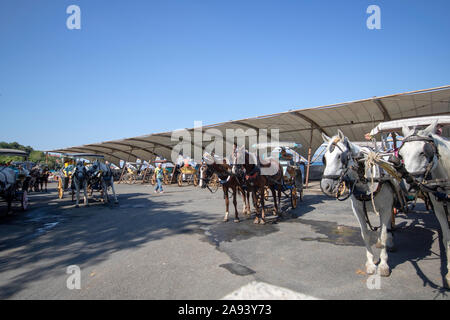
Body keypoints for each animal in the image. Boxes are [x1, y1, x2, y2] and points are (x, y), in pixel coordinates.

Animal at [320, 130, 398, 278]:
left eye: (340, 157)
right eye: (325, 158)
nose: (325, 186)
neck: (364, 180)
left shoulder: (385, 207)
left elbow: (384, 234)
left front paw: (383, 265)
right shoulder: (357, 209)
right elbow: (365, 234)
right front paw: (370, 264)